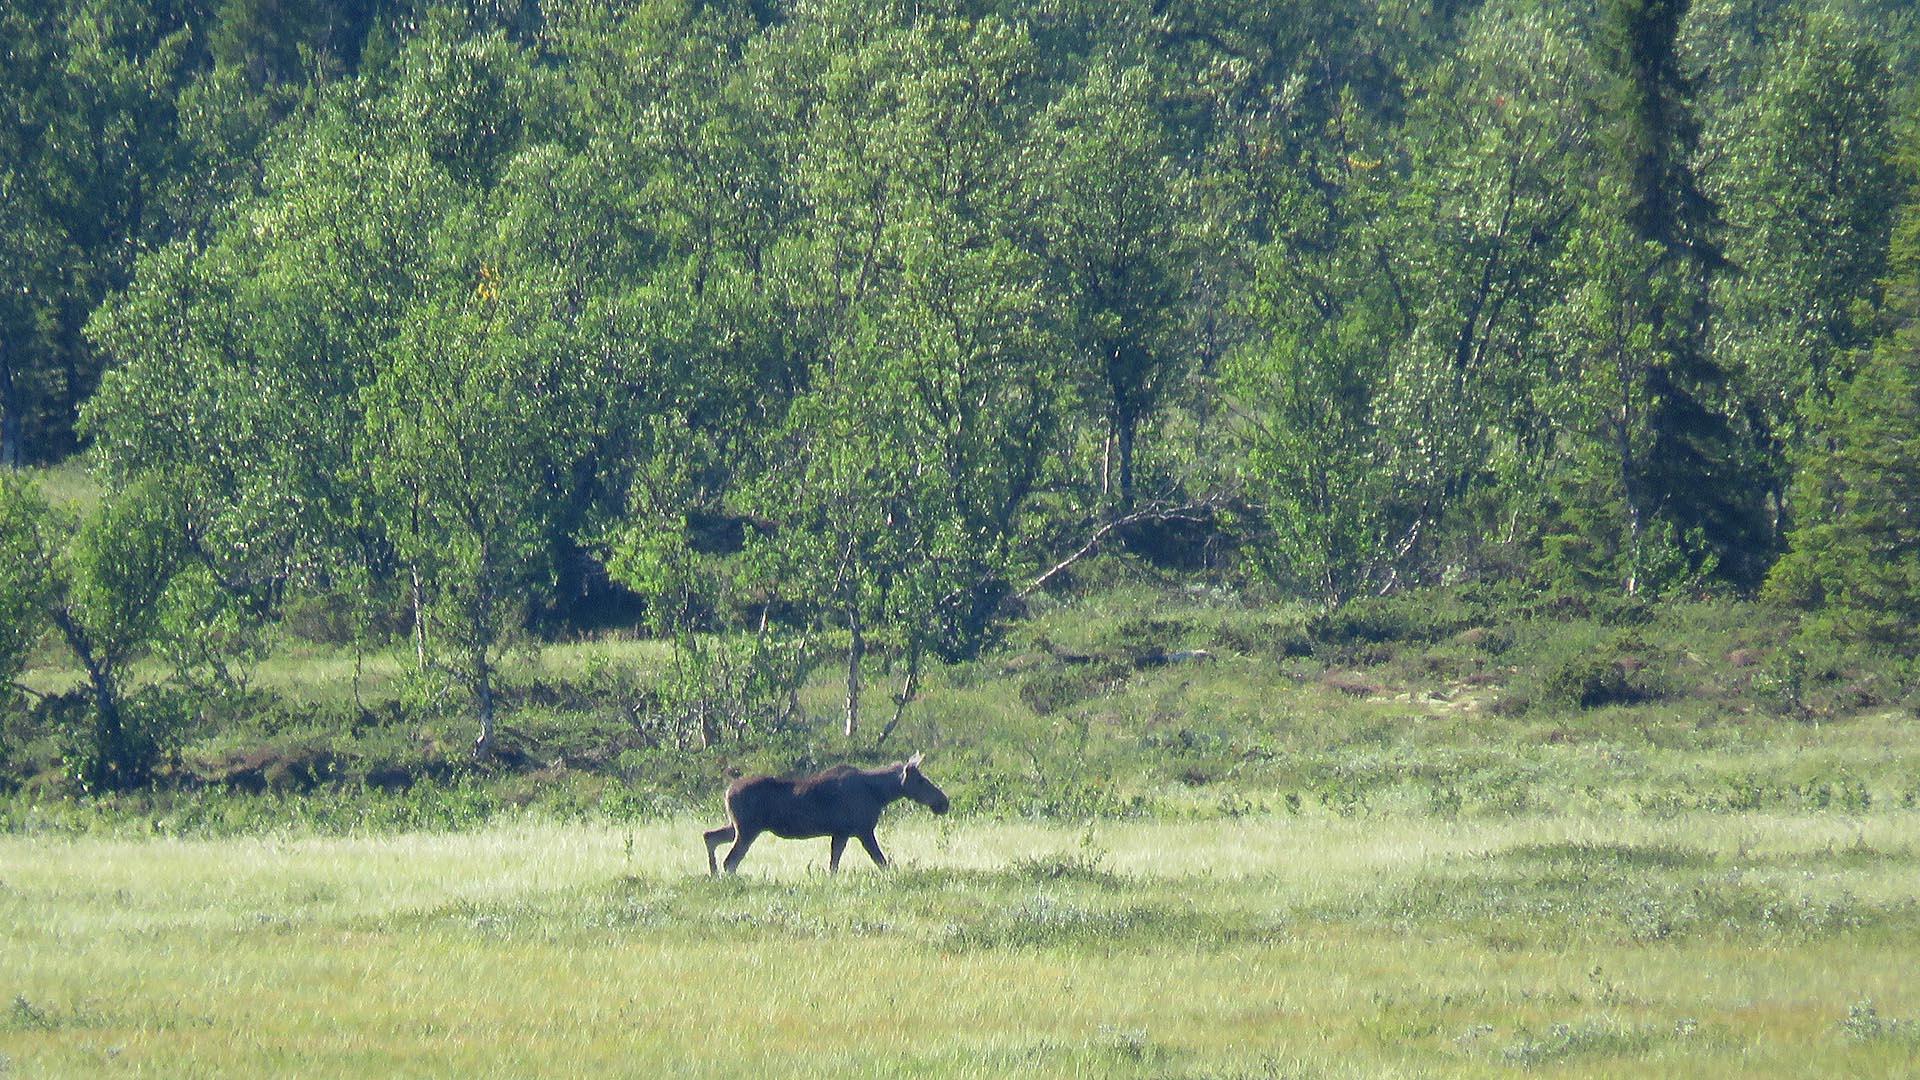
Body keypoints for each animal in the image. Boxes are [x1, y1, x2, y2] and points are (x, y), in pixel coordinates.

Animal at [702, 749, 948, 876]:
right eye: (921, 780)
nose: (944, 802)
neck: (880, 793)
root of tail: (727, 791)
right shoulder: (863, 830)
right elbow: (881, 861)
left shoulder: (841, 833)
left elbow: (833, 865)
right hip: (747, 830)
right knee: (730, 860)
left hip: (735, 827)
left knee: (709, 837)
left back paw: (713, 875)